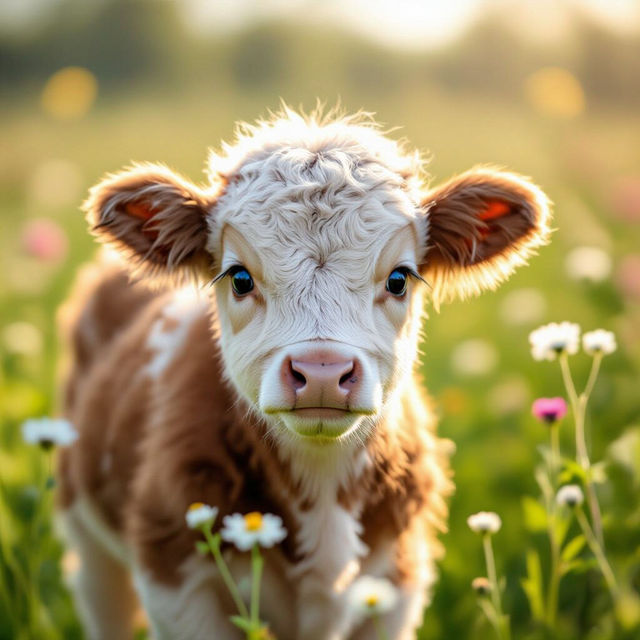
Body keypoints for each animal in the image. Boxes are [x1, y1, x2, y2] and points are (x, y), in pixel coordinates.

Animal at [57, 107, 551, 640]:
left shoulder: (399, 581)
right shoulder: (175, 579)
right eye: (239, 277)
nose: (321, 372)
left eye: (399, 278)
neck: (322, 482)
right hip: (85, 533)